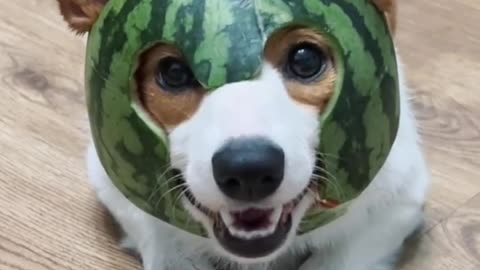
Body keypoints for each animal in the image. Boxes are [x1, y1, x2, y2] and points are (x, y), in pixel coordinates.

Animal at [57, 0, 432, 270]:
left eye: (305, 59)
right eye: (173, 72)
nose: (249, 169)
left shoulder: (401, 197)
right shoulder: (114, 183)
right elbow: (165, 248)